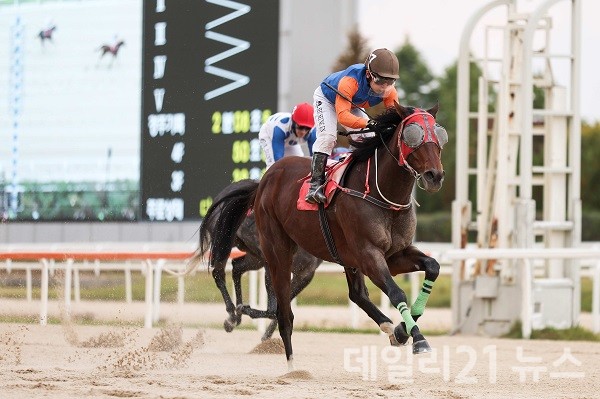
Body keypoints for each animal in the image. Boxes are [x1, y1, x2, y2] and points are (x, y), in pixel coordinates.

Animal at [191, 181, 324, 340]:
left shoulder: (305, 274)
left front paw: (267, 333)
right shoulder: (273, 264)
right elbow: (273, 309)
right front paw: (245, 312)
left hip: (255, 257)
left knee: (237, 267)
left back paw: (236, 316)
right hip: (224, 241)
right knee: (219, 273)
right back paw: (231, 316)